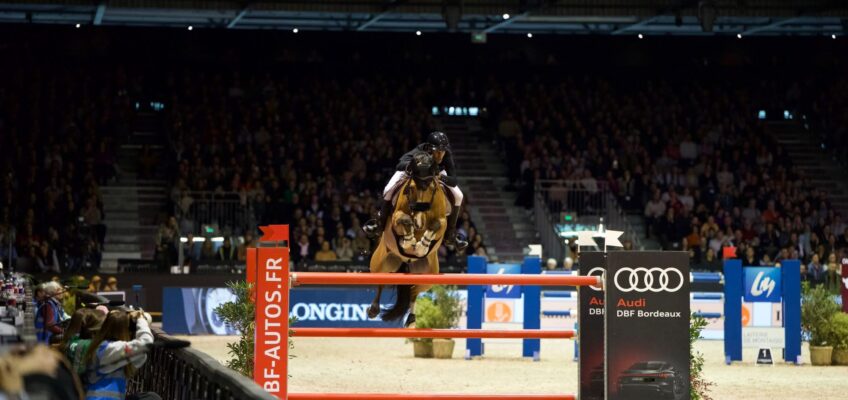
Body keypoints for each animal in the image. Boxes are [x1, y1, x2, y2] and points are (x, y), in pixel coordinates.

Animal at [368, 150, 454, 328]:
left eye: (432, 188)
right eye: (412, 188)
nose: (419, 222)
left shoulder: (442, 222)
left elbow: (436, 225)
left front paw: (421, 246)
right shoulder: (396, 218)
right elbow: (404, 220)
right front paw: (408, 241)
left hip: (428, 276)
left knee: (414, 290)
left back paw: (411, 320)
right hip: (381, 262)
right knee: (380, 280)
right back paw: (373, 309)